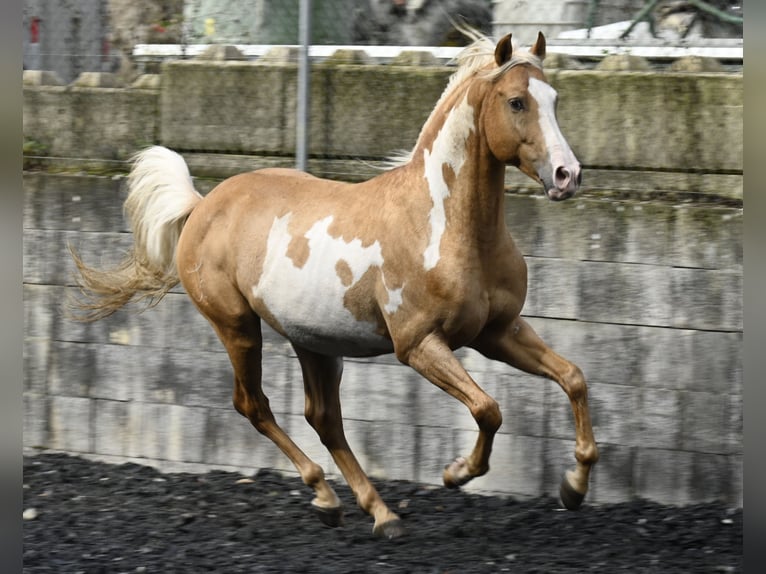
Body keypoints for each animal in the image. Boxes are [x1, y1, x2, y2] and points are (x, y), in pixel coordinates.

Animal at [70, 31, 600, 544]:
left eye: (554, 98)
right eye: (516, 101)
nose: (567, 175)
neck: (444, 226)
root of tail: (201, 205)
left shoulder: (498, 331)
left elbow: (573, 377)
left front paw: (573, 489)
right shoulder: (418, 344)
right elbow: (489, 409)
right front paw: (455, 473)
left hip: (315, 342)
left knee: (324, 418)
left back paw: (374, 512)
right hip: (238, 326)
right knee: (254, 405)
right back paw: (330, 497)